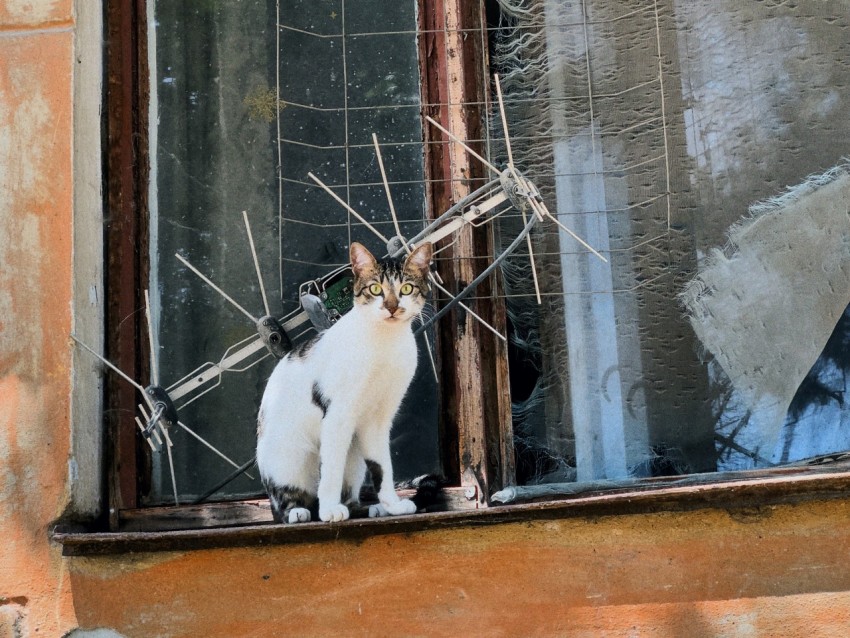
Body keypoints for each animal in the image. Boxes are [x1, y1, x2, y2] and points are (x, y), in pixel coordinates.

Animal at [256, 240, 430, 524]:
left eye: (406, 288)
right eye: (375, 289)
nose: (392, 306)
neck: (385, 341)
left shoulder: (379, 419)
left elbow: (383, 466)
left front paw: (392, 505)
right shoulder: (338, 413)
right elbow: (331, 469)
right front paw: (329, 511)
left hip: (354, 457)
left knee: (350, 486)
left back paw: (366, 508)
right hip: (287, 457)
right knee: (284, 501)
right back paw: (299, 512)